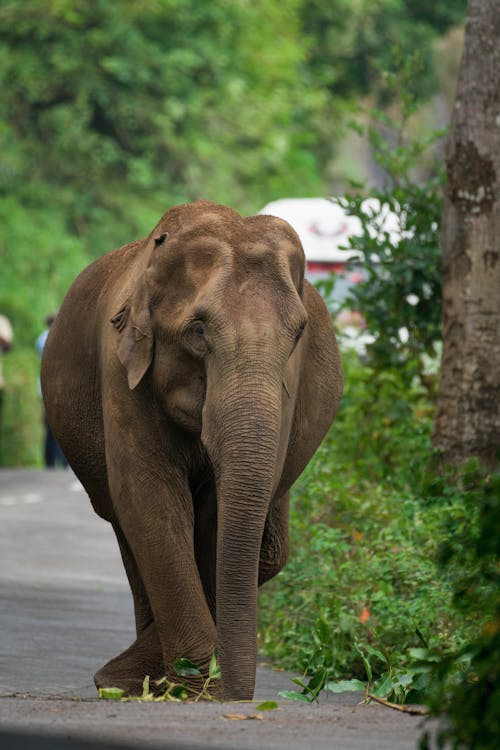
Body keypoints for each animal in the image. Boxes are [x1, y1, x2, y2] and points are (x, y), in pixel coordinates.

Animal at [41, 201, 342, 704]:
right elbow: (150, 498)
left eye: (298, 334)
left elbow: (217, 519)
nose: (241, 698)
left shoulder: (290, 387)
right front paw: (190, 686)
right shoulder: (120, 370)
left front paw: (183, 684)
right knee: (127, 525)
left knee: (270, 548)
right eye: (198, 332)